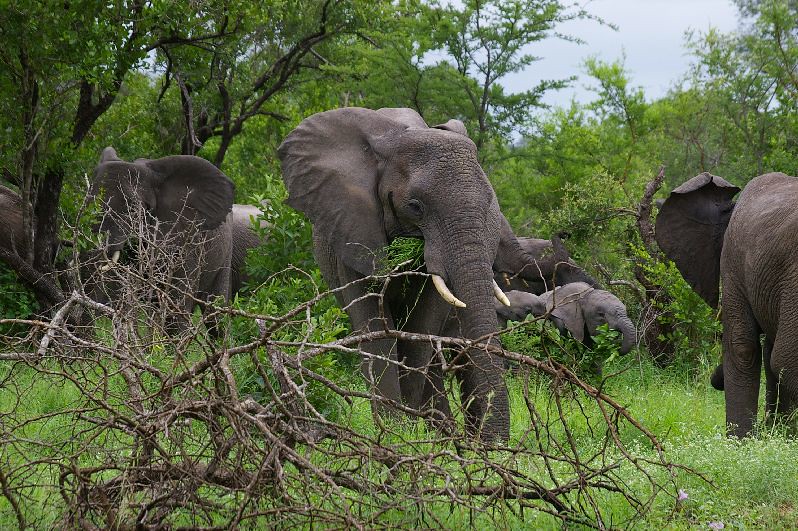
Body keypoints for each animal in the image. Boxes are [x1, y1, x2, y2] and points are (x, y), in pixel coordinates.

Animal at [278, 107, 535, 442]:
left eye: (490, 205)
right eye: (415, 206)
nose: (495, 444)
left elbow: (421, 326)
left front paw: (411, 433)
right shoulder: (351, 227)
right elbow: (372, 325)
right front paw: (396, 434)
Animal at [655, 171, 798, 437]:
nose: (716, 381)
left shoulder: (733, 262)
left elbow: (743, 347)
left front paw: (739, 441)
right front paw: (776, 434)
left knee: (785, 356)